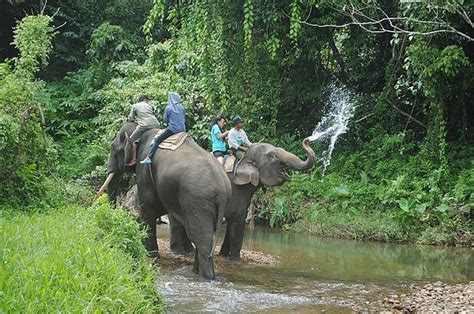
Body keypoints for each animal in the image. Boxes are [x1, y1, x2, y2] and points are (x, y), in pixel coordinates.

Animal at [96, 121, 231, 278]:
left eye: (113, 148)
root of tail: (222, 189)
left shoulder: (144, 169)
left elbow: (148, 208)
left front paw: (151, 254)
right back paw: (196, 273)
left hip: (198, 202)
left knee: (201, 238)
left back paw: (206, 277)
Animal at [168, 137, 316, 260]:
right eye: (272, 156)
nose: (307, 140)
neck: (243, 158)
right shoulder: (235, 189)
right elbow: (238, 219)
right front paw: (235, 259)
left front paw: (224, 255)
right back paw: (179, 251)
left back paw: (189, 250)